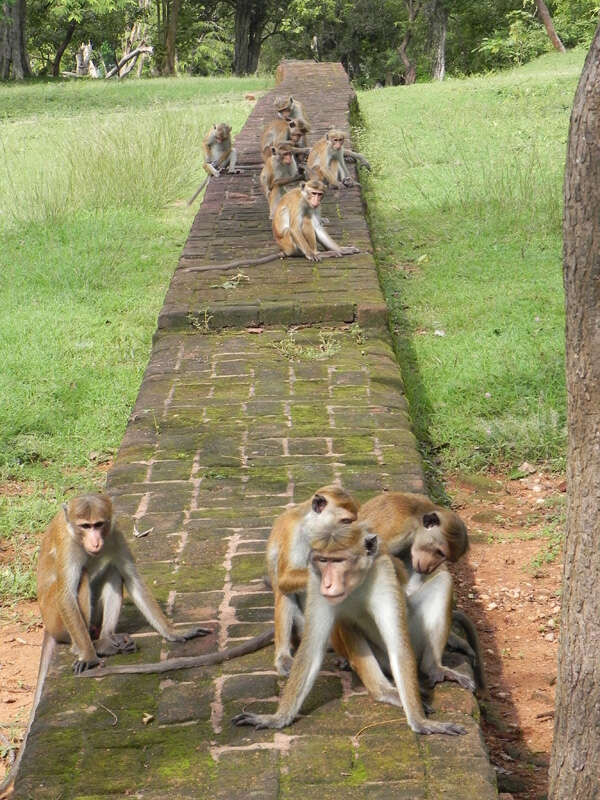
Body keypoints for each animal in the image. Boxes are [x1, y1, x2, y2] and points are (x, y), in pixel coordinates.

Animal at [37, 490, 211, 672]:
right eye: (85, 526)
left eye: (98, 524)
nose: (95, 542)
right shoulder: (67, 544)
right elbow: (66, 596)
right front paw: (89, 657)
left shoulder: (114, 533)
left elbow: (131, 578)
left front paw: (173, 632)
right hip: (56, 621)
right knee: (82, 578)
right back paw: (83, 648)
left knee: (113, 571)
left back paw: (106, 638)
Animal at [232, 520, 466, 736]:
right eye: (323, 560)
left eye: (338, 560)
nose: (328, 584)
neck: (355, 584)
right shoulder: (315, 581)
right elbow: (311, 650)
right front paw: (276, 718)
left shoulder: (383, 575)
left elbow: (399, 648)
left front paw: (420, 722)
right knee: (345, 621)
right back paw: (383, 690)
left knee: (443, 580)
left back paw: (432, 667)